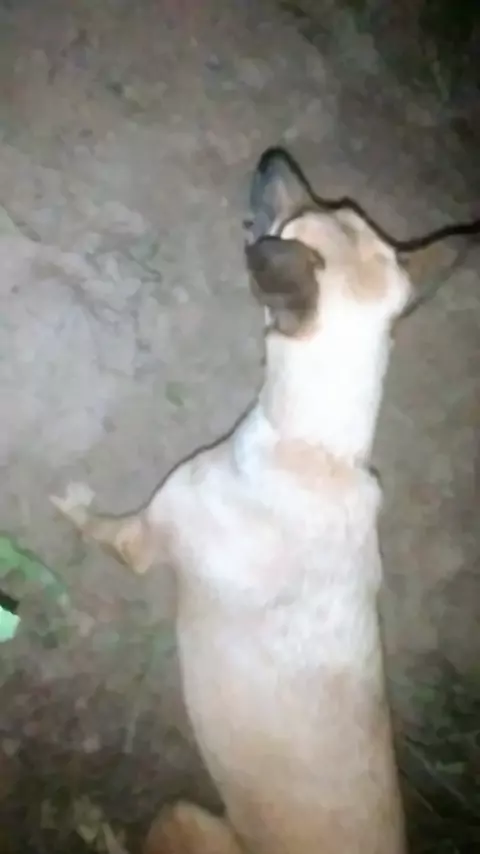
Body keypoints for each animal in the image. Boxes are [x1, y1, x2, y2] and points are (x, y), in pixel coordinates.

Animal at [50, 148, 440, 854]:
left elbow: (91, 522)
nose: (273, 156)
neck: (318, 447)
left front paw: (68, 502)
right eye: (335, 210)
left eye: (292, 222)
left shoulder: (140, 538)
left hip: (183, 816)